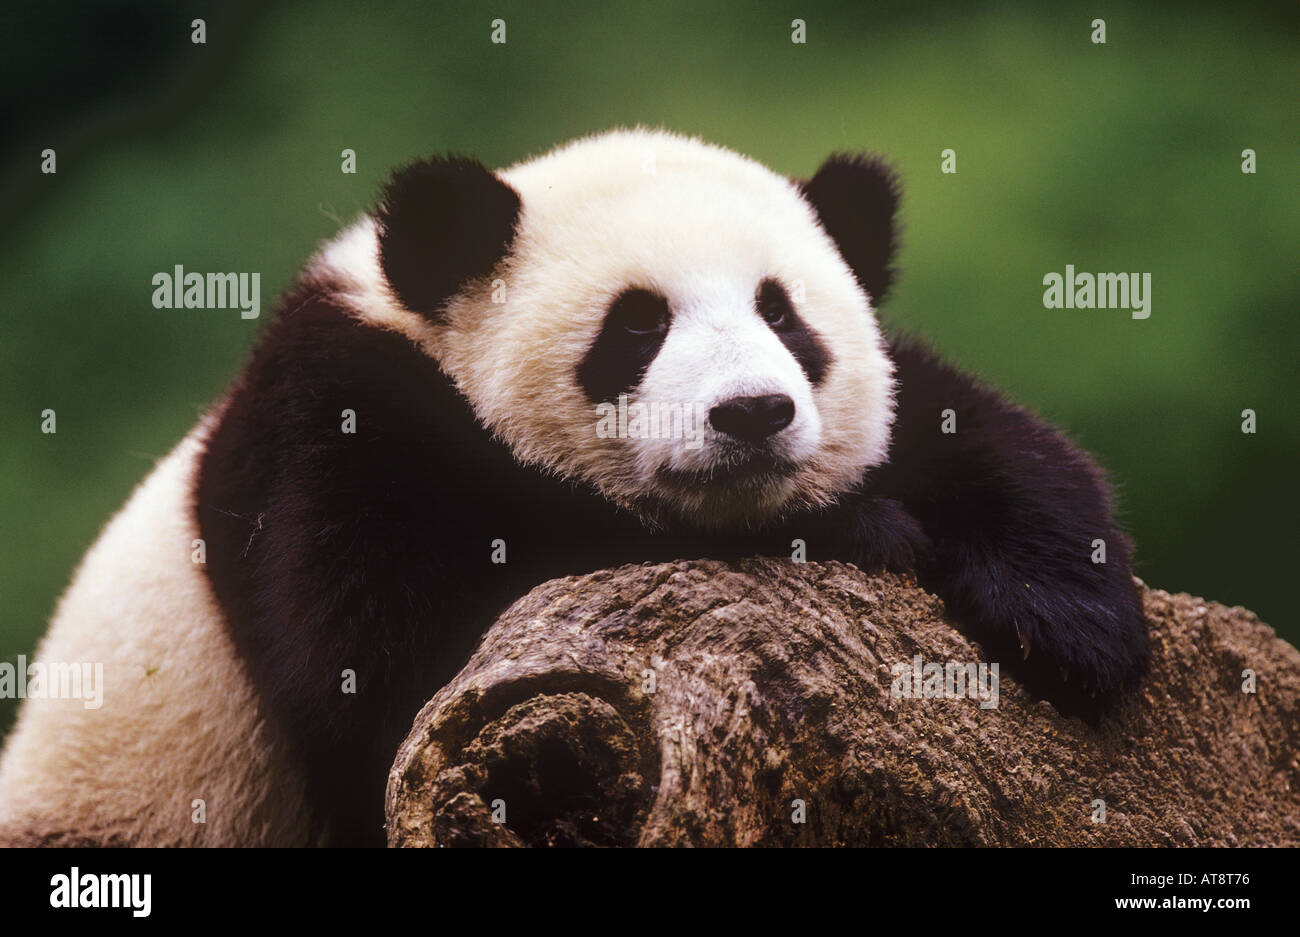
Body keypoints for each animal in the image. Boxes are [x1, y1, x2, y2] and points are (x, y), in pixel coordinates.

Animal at [0, 128, 1147, 847]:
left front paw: (1070, 623)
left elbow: (974, 426)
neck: (412, 324)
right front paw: (859, 526)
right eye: (636, 327)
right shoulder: (334, 428)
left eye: (783, 315)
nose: (751, 414)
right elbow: (406, 660)